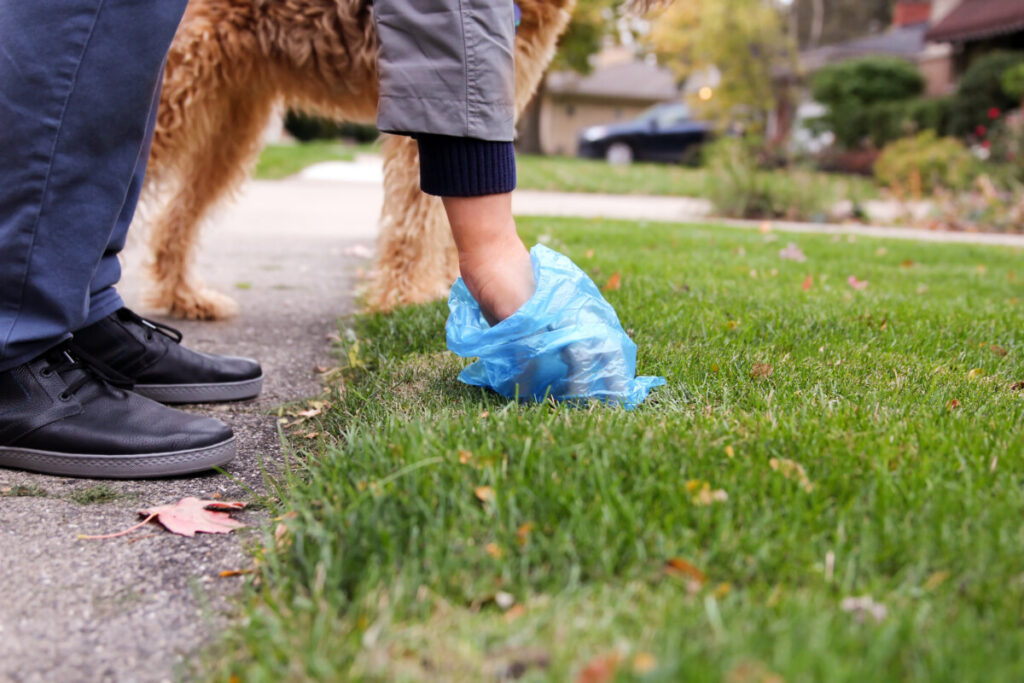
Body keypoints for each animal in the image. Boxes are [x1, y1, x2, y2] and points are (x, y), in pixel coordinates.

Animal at [141, 0, 577, 321]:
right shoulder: (431, 102)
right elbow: (416, 221)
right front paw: (407, 299)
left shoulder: (479, 110)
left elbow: (443, 221)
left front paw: (448, 290)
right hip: (177, 88)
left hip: (231, 122)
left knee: (174, 218)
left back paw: (185, 298)